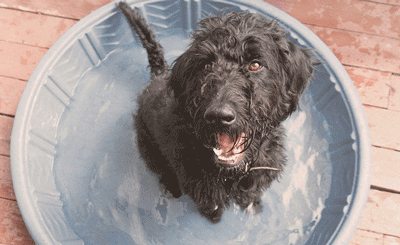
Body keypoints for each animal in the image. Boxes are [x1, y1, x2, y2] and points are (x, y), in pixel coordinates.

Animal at [117, 2, 318, 224]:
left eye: (255, 64)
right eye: (206, 65)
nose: (218, 116)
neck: (232, 173)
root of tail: (158, 76)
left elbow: (251, 195)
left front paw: (253, 207)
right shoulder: (203, 191)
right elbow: (212, 207)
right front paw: (214, 218)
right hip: (148, 147)